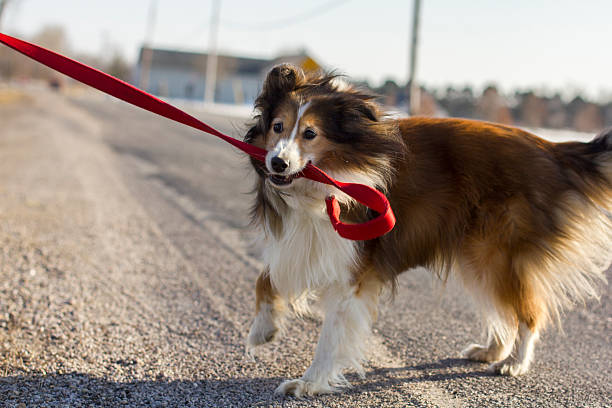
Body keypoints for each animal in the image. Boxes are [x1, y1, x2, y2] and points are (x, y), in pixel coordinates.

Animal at [241, 63, 608, 396]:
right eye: (277, 126)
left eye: (310, 133)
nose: (278, 163)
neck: (327, 179)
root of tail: (553, 150)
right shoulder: (306, 241)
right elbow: (266, 278)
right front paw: (263, 329)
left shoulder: (352, 267)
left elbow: (331, 334)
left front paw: (309, 382)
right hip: (476, 255)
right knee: (503, 309)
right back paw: (492, 350)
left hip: (498, 253)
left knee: (529, 313)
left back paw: (513, 363)